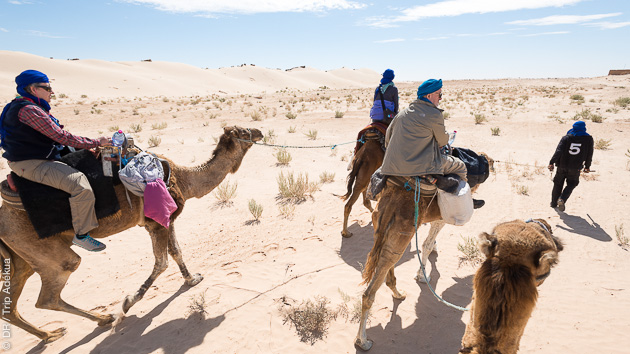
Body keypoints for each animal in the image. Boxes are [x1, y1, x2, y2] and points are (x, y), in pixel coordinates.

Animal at [0, 125, 264, 342]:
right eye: (243, 131)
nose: (260, 132)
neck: (185, 179)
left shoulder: (163, 220)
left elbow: (176, 252)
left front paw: (192, 279)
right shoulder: (156, 223)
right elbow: (162, 262)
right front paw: (128, 302)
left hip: (23, 257)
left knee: (11, 304)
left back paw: (50, 334)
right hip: (43, 249)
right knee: (49, 293)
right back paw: (100, 319)